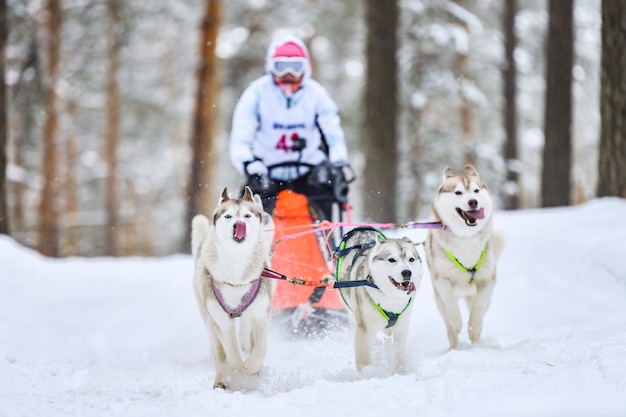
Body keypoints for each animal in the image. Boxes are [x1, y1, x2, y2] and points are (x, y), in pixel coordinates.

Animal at [191, 185, 274, 386]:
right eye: (228, 216)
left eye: (247, 216)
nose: (239, 225)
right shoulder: (221, 320)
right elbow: (231, 351)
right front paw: (238, 367)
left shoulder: (261, 313)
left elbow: (260, 348)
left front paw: (251, 367)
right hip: (208, 318)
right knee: (220, 353)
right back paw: (221, 380)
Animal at [334, 228, 422, 370]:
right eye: (392, 260)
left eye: (411, 259)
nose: (407, 272)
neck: (390, 296)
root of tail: (360, 229)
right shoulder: (364, 329)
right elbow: (364, 359)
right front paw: (368, 372)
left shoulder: (402, 327)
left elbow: (399, 351)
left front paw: (400, 370)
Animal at [422, 164, 500, 350]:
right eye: (458, 193)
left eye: (476, 190)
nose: (473, 202)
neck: (466, 237)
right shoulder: (441, 279)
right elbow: (450, 300)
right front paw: (457, 322)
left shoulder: (488, 279)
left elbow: (479, 307)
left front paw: (474, 328)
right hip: (439, 301)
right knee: (449, 328)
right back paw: (454, 347)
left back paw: (477, 343)